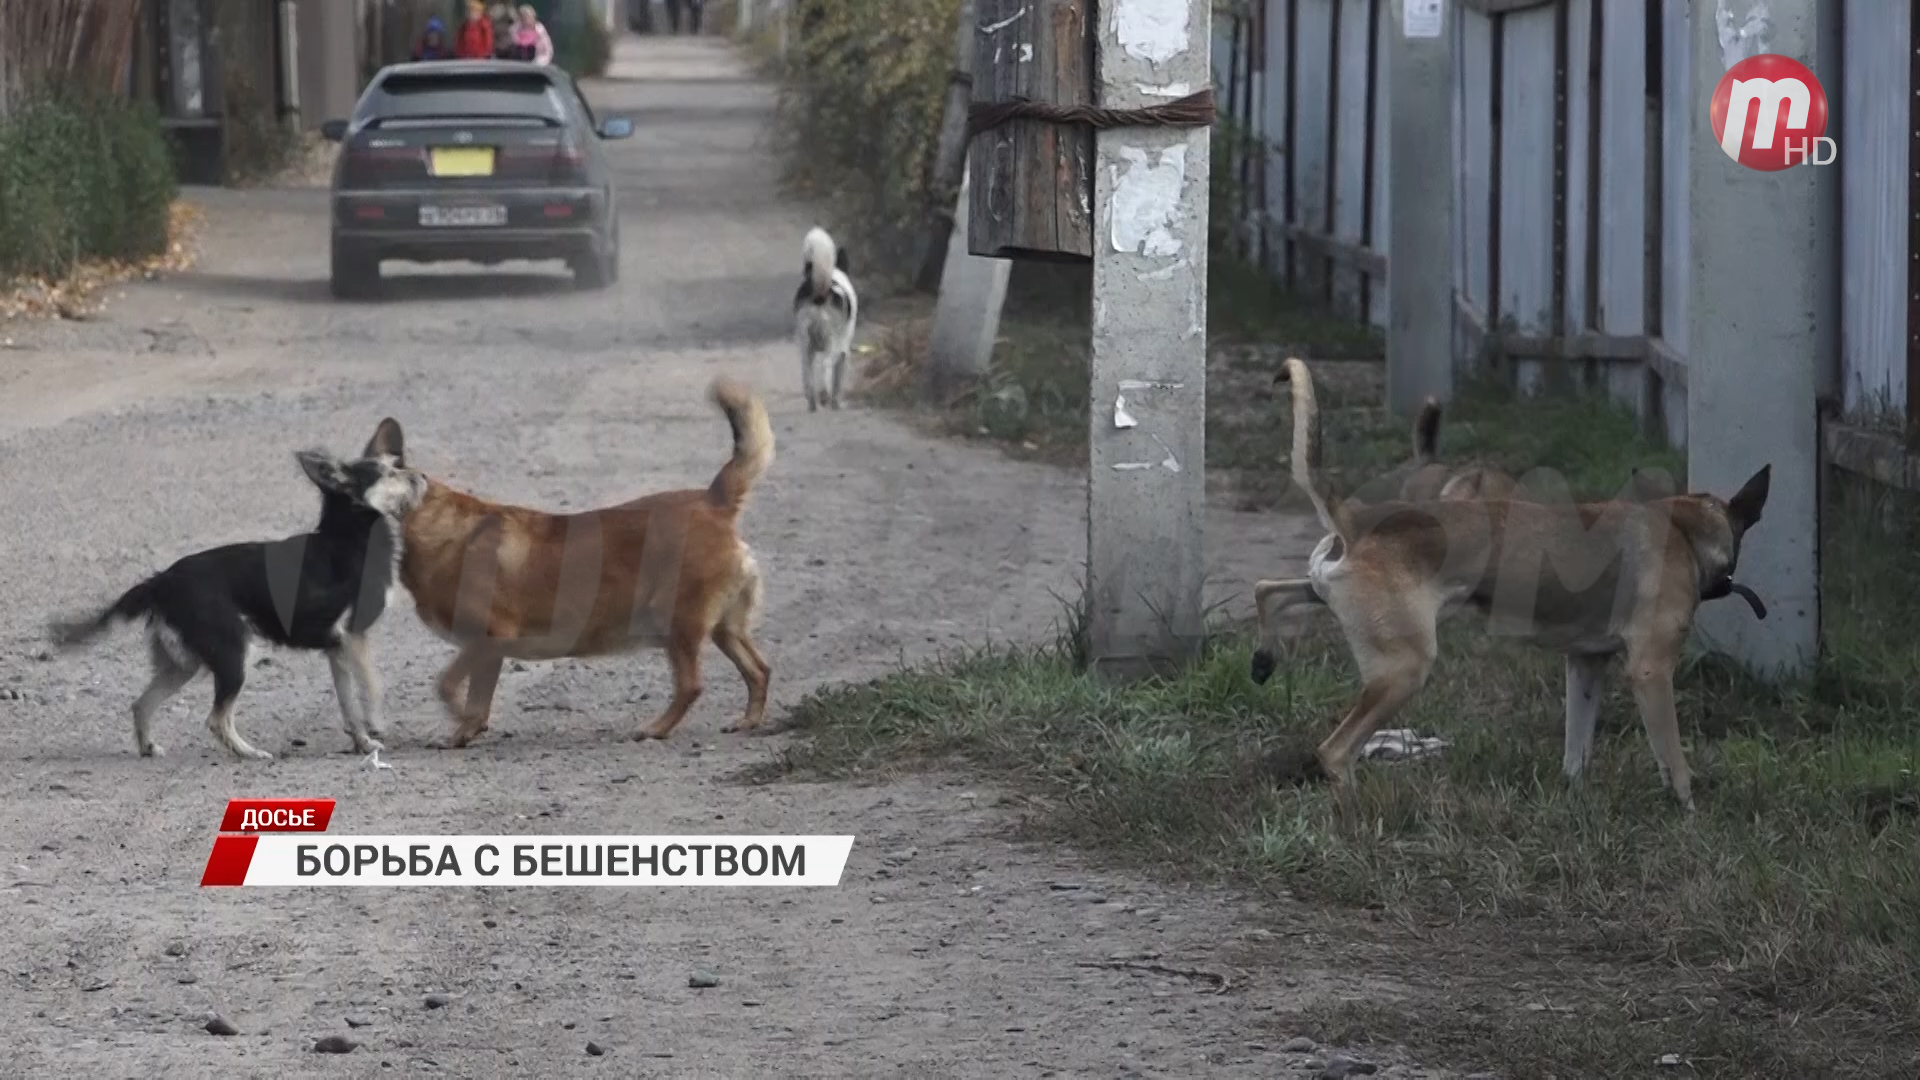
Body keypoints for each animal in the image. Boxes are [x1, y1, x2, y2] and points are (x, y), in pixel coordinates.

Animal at [46, 445, 430, 757]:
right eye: (390, 472)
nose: (423, 475)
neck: (351, 535)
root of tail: (160, 582)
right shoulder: (353, 638)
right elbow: (372, 686)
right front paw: (376, 725)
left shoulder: (338, 647)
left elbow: (348, 703)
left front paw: (362, 742)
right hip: (235, 655)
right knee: (216, 718)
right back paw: (250, 753)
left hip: (183, 664)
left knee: (141, 704)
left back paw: (149, 747)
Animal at [366, 376, 771, 737]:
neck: (427, 519)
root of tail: (713, 502)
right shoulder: (488, 653)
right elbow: (477, 699)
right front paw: (469, 730)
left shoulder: (486, 640)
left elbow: (448, 686)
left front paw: (461, 724)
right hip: (725, 629)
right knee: (759, 670)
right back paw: (748, 721)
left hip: (675, 622)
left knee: (691, 686)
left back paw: (655, 729)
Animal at [791, 224, 860, 409]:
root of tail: (821, 294)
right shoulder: (844, 353)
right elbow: (837, 383)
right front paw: (836, 404)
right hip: (833, 344)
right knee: (825, 365)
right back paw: (823, 396)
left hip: (805, 344)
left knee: (807, 375)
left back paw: (812, 403)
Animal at [1244, 357, 1766, 803]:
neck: (1686, 529)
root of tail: (1358, 520)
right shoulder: (1651, 671)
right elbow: (1674, 761)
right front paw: (1688, 811)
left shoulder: (1584, 666)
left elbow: (1576, 749)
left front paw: (1572, 797)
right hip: (1403, 670)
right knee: (1334, 751)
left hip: (1334, 596)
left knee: (1268, 590)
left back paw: (1264, 658)